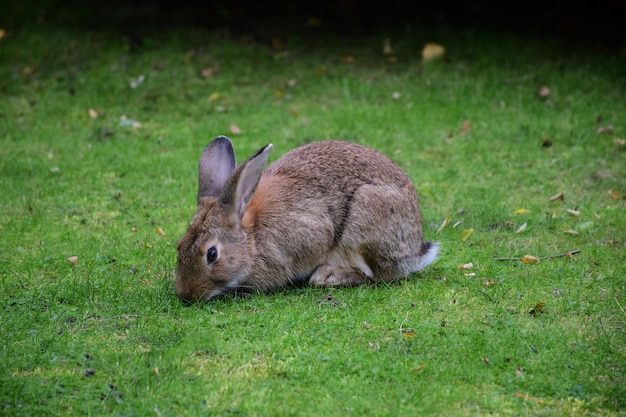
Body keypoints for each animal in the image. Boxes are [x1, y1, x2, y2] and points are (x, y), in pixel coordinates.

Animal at [174, 136, 438, 302]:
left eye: (212, 254)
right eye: (179, 245)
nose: (187, 294)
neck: (252, 238)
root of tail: (415, 250)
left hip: (365, 219)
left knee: (379, 276)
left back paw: (328, 277)